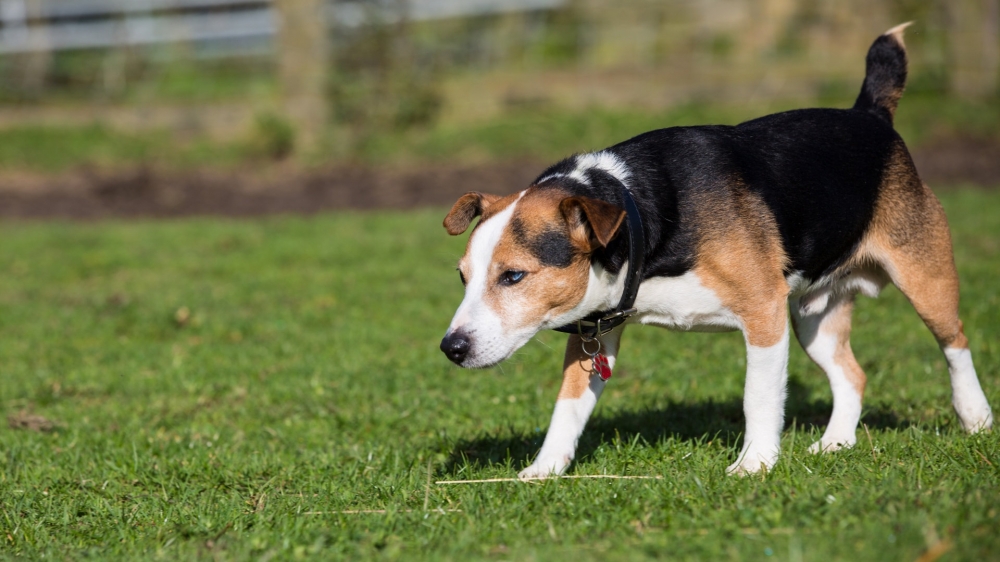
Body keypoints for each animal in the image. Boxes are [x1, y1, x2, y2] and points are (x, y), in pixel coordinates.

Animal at [438, 24, 992, 474]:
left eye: (513, 276)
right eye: (463, 277)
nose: (451, 348)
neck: (642, 210)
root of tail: (870, 115)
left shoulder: (764, 313)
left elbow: (759, 398)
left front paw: (755, 465)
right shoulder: (594, 333)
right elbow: (567, 408)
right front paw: (545, 470)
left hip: (924, 279)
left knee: (955, 343)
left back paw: (976, 418)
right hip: (812, 318)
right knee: (852, 375)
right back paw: (836, 443)